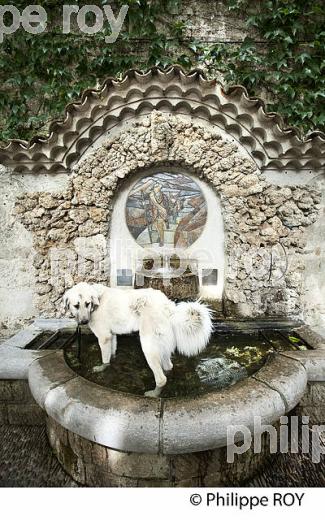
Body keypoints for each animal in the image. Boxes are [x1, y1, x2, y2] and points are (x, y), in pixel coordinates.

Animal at [62, 282, 213, 396]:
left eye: (87, 304)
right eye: (76, 305)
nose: (83, 322)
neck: (97, 301)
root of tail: (168, 306)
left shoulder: (104, 337)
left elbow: (105, 359)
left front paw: (101, 368)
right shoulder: (112, 336)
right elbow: (111, 354)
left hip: (148, 346)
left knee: (161, 379)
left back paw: (153, 394)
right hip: (160, 346)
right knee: (168, 367)